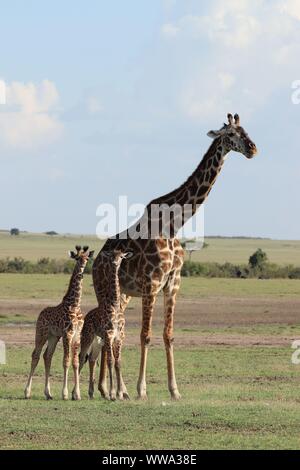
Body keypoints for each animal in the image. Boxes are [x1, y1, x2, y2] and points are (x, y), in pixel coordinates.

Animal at [92, 112, 256, 398]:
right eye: (231, 135)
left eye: (246, 131)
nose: (253, 148)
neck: (172, 224)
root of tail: (97, 258)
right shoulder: (152, 283)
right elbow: (145, 335)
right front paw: (141, 389)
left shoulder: (173, 284)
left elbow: (168, 335)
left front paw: (174, 390)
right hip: (105, 291)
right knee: (107, 330)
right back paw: (110, 389)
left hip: (123, 295)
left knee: (113, 332)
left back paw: (113, 389)